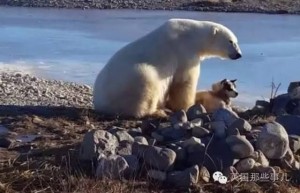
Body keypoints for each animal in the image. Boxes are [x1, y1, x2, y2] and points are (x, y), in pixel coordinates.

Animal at [92, 18, 243, 117]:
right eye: (231, 41)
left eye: (236, 41)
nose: (239, 54)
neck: (192, 35)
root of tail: (99, 103)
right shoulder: (184, 52)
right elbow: (184, 82)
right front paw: (187, 105)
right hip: (129, 80)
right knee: (146, 81)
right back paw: (158, 111)